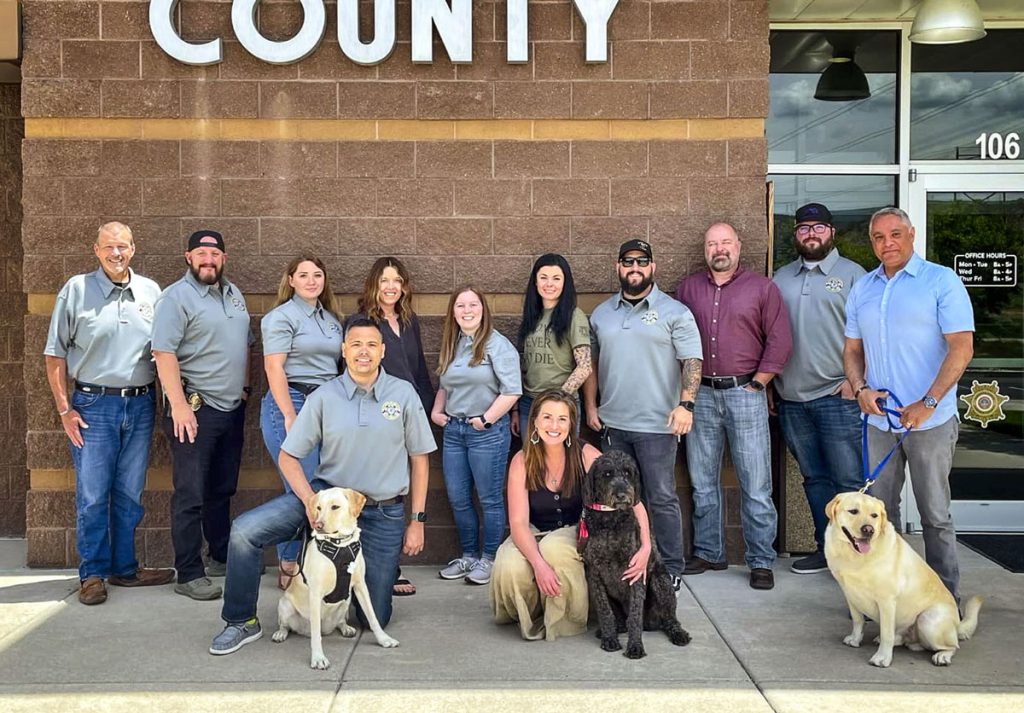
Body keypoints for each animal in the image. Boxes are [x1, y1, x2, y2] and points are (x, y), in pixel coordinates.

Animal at [272, 485, 399, 667]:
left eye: (335, 507)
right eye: (318, 508)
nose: (318, 525)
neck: (340, 544)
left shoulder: (360, 585)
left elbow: (373, 616)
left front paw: (384, 639)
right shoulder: (315, 592)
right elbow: (316, 633)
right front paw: (318, 657)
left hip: (346, 601)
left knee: (340, 621)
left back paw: (346, 628)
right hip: (285, 605)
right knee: (287, 626)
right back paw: (280, 633)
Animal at [581, 450, 692, 655]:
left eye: (627, 473)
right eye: (607, 473)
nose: (622, 495)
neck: (610, 520)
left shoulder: (635, 571)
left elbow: (634, 615)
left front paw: (635, 646)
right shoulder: (594, 574)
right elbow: (605, 611)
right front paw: (610, 638)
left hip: (661, 583)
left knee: (669, 618)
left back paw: (678, 633)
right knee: (619, 617)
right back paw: (614, 628)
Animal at [823, 489, 974, 667]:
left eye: (874, 515)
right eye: (853, 511)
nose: (869, 530)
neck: (854, 557)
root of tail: (957, 626)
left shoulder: (887, 600)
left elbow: (886, 633)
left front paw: (882, 657)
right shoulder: (849, 593)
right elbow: (857, 619)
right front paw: (855, 639)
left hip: (927, 619)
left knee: (953, 646)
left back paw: (943, 656)